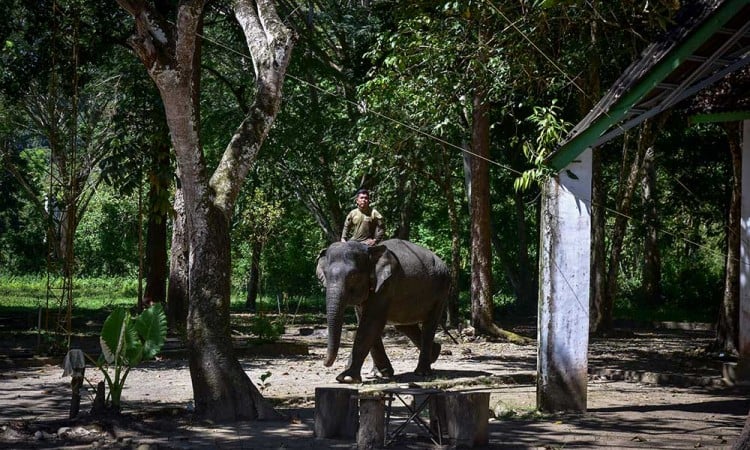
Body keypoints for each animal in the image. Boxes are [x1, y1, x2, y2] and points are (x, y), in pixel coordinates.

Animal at [314, 239, 450, 384]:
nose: (325, 363)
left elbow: (370, 323)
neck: (369, 249)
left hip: (442, 290)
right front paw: (381, 373)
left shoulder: (386, 284)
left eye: (353, 275)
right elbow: (365, 321)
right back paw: (435, 352)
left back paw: (422, 372)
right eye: (325, 275)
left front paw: (346, 378)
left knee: (429, 325)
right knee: (405, 326)